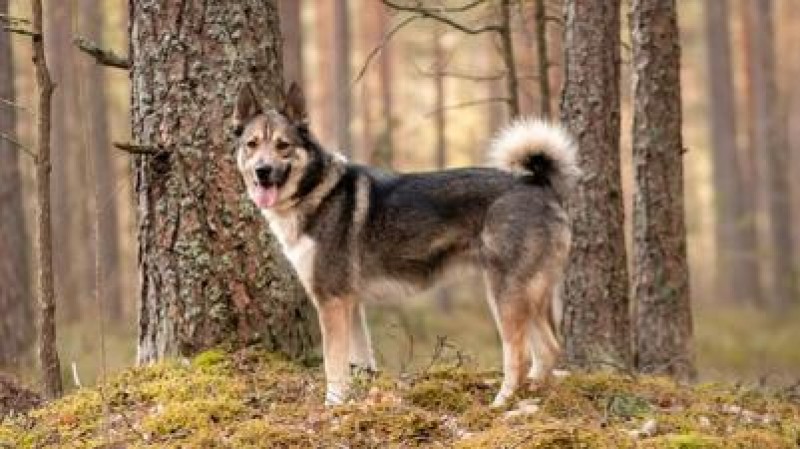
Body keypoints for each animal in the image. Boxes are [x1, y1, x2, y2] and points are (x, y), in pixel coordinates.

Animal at [232, 82, 578, 407]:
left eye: (283, 145)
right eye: (252, 144)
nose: (262, 171)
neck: (315, 191)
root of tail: (537, 183)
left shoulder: (331, 302)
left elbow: (334, 365)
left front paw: (333, 406)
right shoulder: (350, 303)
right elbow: (361, 361)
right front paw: (361, 400)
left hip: (505, 295)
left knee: (519, 355)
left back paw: (502, 403)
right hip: (529, 295)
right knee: (548, 348)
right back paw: (534, 394)